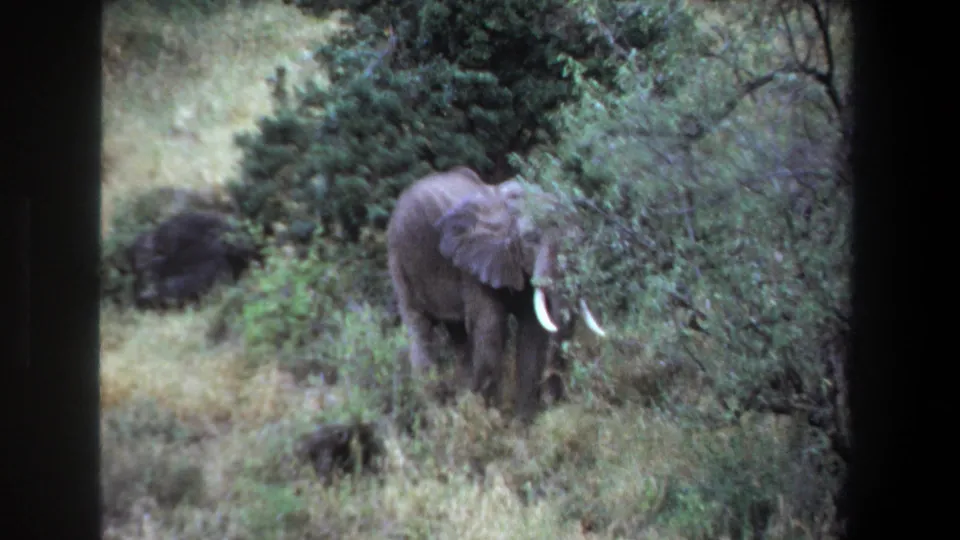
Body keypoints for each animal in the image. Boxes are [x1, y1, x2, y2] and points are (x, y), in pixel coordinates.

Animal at [386, 166, 607, 420]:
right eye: (531, 239)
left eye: (580, 240)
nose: (553, 402)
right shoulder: (473, 265)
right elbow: (490, 330)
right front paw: (489, 418)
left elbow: (532, 334)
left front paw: (521, 424)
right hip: (400, 261)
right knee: (420, 329)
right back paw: (435, 414)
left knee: (458, 335)